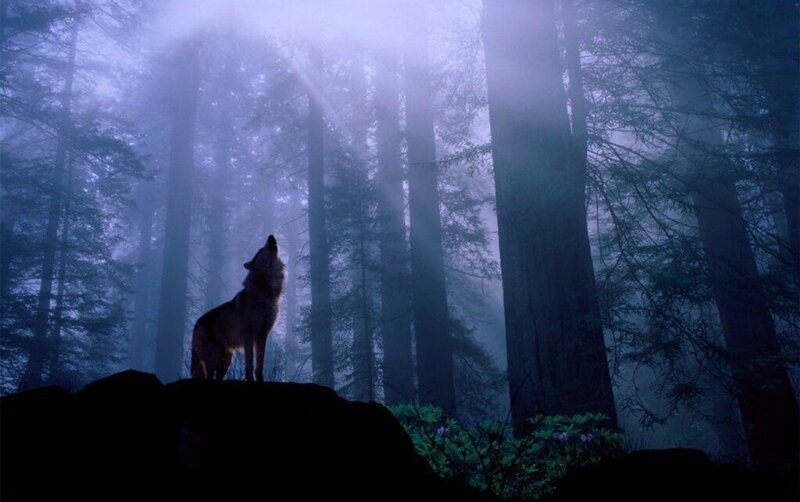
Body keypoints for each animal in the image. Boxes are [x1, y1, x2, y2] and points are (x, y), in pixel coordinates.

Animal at [191, 235, 285, 381]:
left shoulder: (262, 336)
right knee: (209, 375)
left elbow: (260, 365)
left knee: (218, 377)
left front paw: (260, 380)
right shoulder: (249, 336)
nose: (271, 235)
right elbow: (249, 364)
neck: (266, 294)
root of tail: (196, 323)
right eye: (260, 250)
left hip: (226, 360)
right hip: (212, 359)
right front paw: (251, 380)